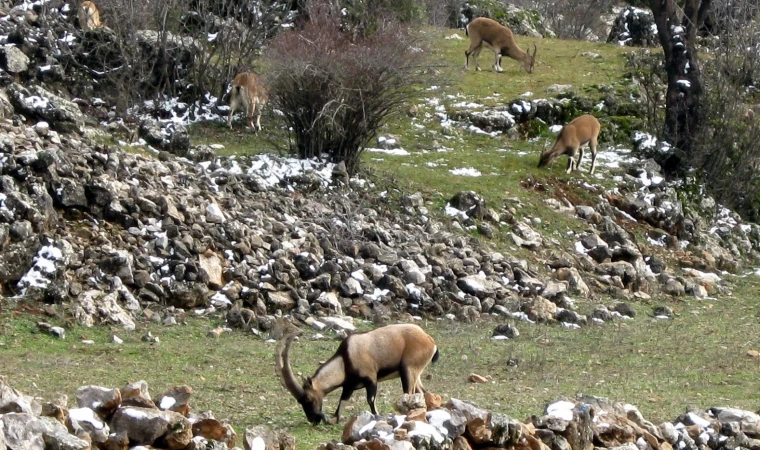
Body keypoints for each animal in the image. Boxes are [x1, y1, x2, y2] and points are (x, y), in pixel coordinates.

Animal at [274, 324, 440, 426]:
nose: (313, 419)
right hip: (415, 374)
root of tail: (429, 340)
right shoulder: (349, 386)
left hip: (408, 370)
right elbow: (341, 403)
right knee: (423, 392)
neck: (345, 360)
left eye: (308, 399)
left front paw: (377, 417)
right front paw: (333, 419)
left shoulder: (371, 379)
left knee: (410, 393)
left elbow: (370, 400)